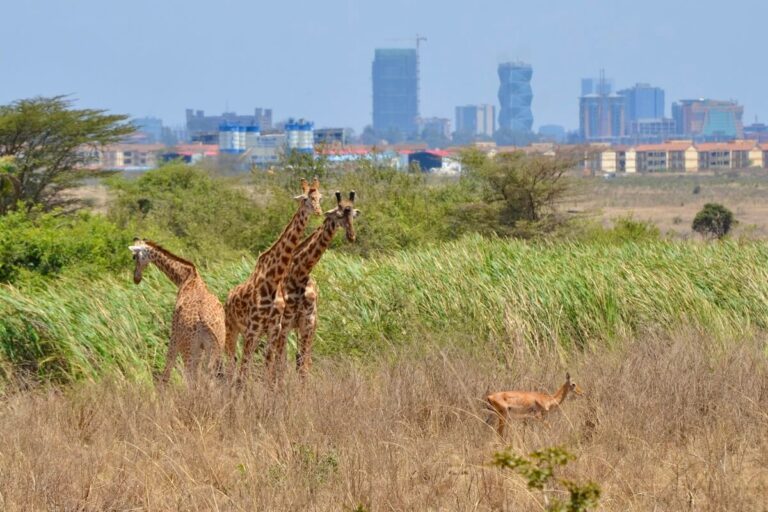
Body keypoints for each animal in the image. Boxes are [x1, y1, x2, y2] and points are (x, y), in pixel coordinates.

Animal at [129, 238, 226, 385]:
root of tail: (204, 321)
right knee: (209, 378)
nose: (136, 278)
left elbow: (168, 367)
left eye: (134, 257)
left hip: (189, 347)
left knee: (190, 378)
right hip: (216, 346)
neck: (185, 277)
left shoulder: (174, 334)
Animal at [224, 177, 323, 382]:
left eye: (320, 197)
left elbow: (270, 371)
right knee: (231, 365)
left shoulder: (274, 329)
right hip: (232, 328)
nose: (318, 212)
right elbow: (247, 373)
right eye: (305, 199)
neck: (272, 279)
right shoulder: (254, 329)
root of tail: (228, 297)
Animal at [267, 190, 360, 379]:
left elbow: (304, 367)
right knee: (276, 361)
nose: (351, 236)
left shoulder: (308, 322)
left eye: (352, 214)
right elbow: (281, 366)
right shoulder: (285, 323)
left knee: (301, 360)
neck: (301, 274)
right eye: (339, 214)